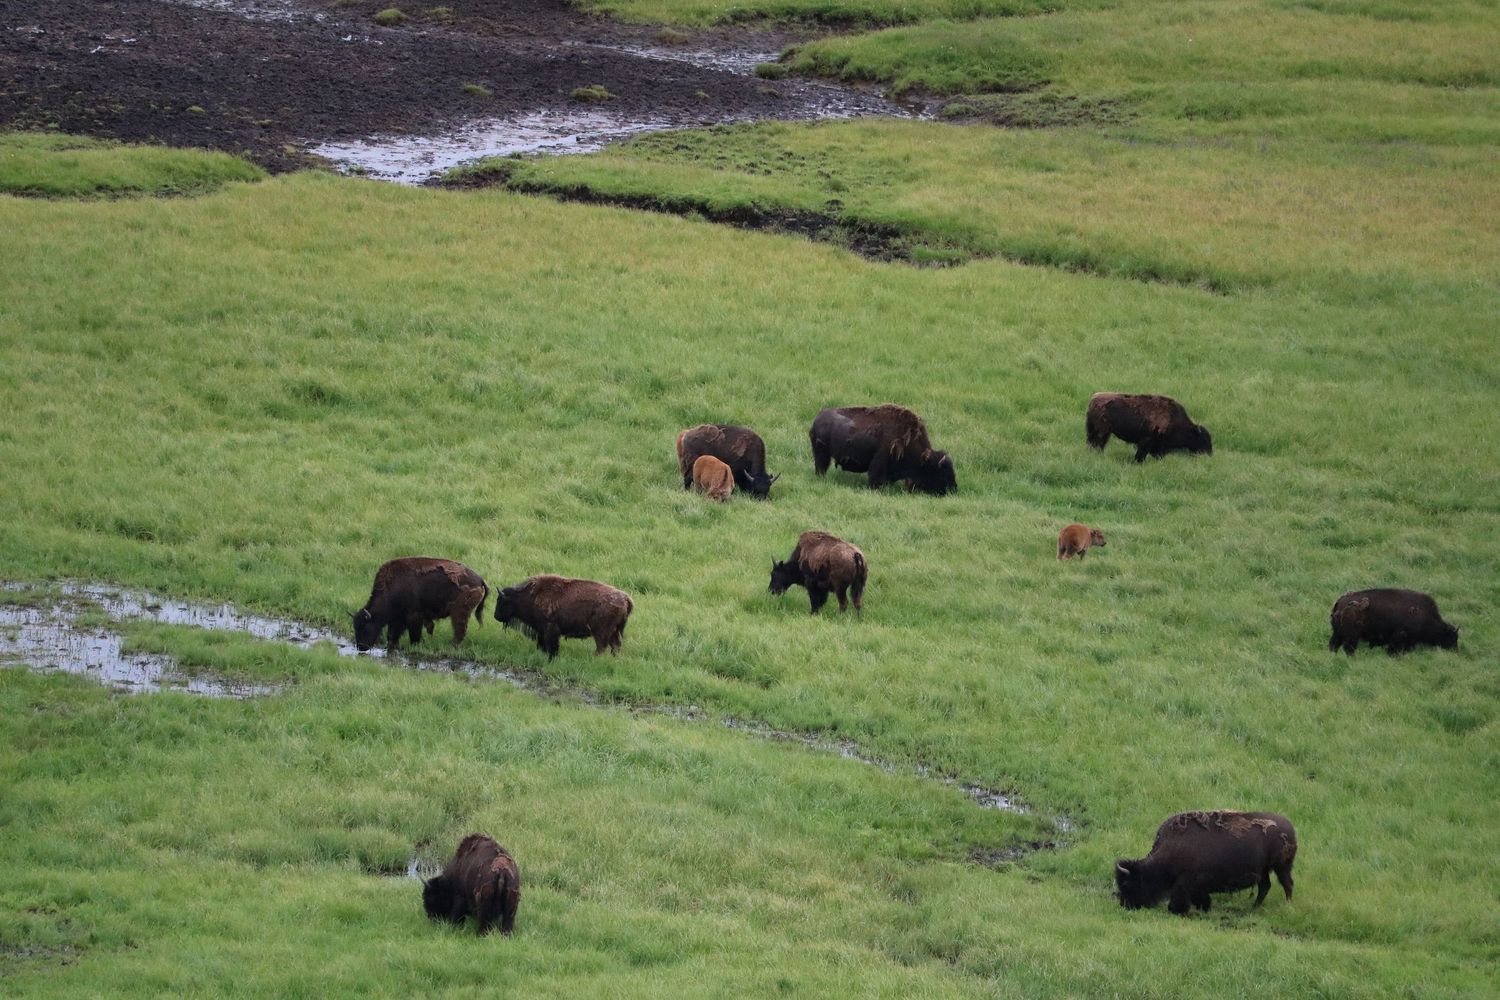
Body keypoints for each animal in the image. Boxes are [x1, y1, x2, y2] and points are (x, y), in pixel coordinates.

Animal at [352, 557, 488, 653]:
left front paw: (415, 645)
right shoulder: (397, 619)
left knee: (459, 631)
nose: (361, 647)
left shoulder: (414, 617)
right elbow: (392, 634)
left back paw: (451, 646)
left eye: (365, 627)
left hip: (459, 613)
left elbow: (413, 634)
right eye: (355, 627)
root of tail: (480, 580)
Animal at [494, 575, 633, 658]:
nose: (496, 616)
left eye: (501, 601)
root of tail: (625, 598)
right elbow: (541, 643)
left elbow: (552, 645)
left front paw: (552, 657)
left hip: (601, 632)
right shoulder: (541, 630)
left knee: (602, 646)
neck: (531, 596)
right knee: (615, 645)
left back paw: (594, 658)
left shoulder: (551, 630)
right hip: (613, 632)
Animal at [810, 404, 956, 495]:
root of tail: (817, 419)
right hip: (822, 453)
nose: (953, 489)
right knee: (821, 467)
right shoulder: (879, 463)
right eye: (942, 472)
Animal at [1116, 810, 1296, 915]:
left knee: (1287, 884)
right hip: (1264, 870)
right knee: (1265, 886)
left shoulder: (1185, 881)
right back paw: (1254, 907)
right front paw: (1204, 908)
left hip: (1281, 867)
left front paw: (1176, 910)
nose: (1125, 905)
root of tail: (1290, 827)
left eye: (1127, 885)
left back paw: (1287, 905)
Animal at [1329, 588, 1458, 655]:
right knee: (1348, 648)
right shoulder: (1399, 637)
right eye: (1452, 637)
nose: (1455, 649)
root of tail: (1340, 602)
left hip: (1337, 633)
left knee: (1333, 644)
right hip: (1352, 636)